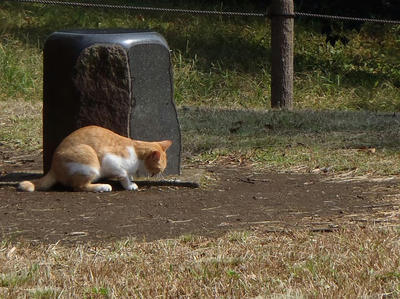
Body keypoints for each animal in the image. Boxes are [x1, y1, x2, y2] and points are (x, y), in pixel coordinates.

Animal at [18, 126, 172, 192]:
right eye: (160, 168)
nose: (159, 174)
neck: (135, 151)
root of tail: (53, 168)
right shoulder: (110, 161)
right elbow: (123, 175)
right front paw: (129, 185)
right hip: (90, 162)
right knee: (79, 187)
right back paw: (102, 187)